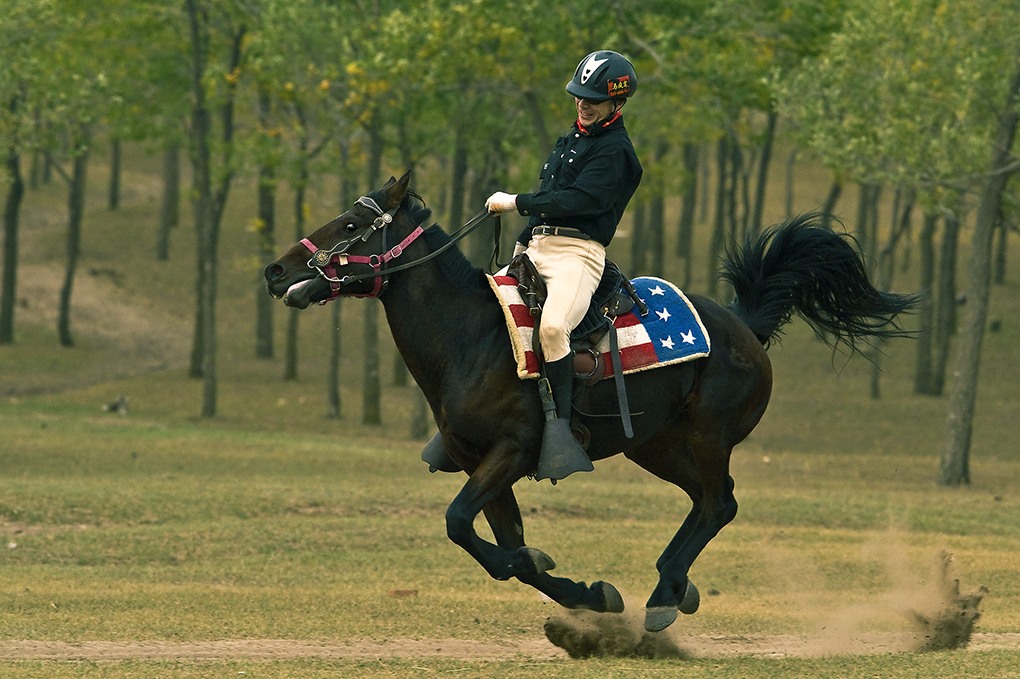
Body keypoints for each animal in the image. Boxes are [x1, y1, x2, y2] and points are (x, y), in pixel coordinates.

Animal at [263, 168, 918, 628]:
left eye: (351, 224)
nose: (276, 271)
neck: (472, 337)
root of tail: (741, 324)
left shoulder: (510, 453)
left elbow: (462, 526)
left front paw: (574, 583)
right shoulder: (482, 465)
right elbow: (503, 548)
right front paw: (584, 590)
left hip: (708, 437)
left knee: (720, 503)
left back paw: (666, 593)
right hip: (655, 447)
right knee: (704, 501)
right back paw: (674, 586)